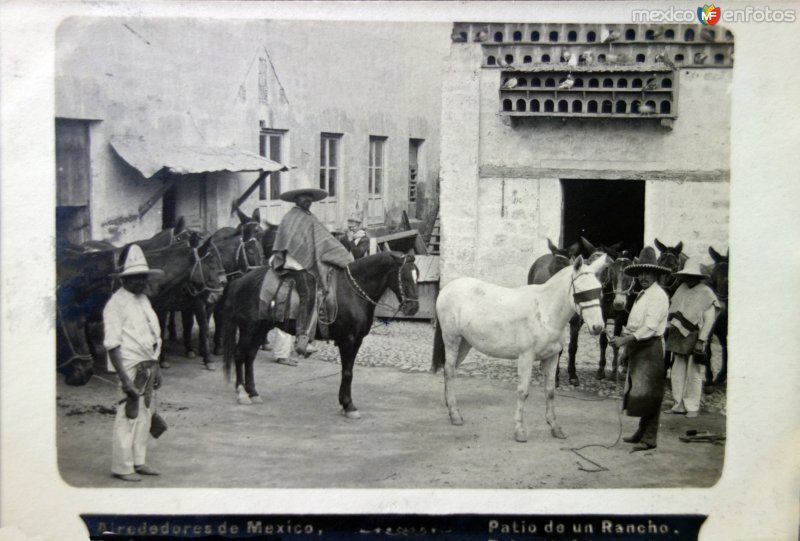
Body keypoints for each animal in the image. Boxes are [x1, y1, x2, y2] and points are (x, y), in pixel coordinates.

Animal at [219, 251, 418, 416]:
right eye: (405, 278)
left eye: (417, 276)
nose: (413, 308)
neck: (353, 292)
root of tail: (238, 280)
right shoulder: (348, 340)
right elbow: (348, 372)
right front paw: (349, 406)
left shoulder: (357, 341)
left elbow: (347, 371)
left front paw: (344, 402)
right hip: (249, 328)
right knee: (240, 355)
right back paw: (242, 393)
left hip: (261, 329)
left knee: (250, 357)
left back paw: (253, 392)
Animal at [432, 255, 608, 440]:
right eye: (580, 292)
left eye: (599, 291)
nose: (598, 327)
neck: (545, 311)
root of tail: (447, 288)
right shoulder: (526, 356)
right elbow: (523, 391)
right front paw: (519, 430)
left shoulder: (552, 357)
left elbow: (550, 392)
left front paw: (555, 427)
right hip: (452, 339)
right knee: (449, 370)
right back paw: (455, 414)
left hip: (465, 343)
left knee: (450, 370)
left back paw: (450, 406)